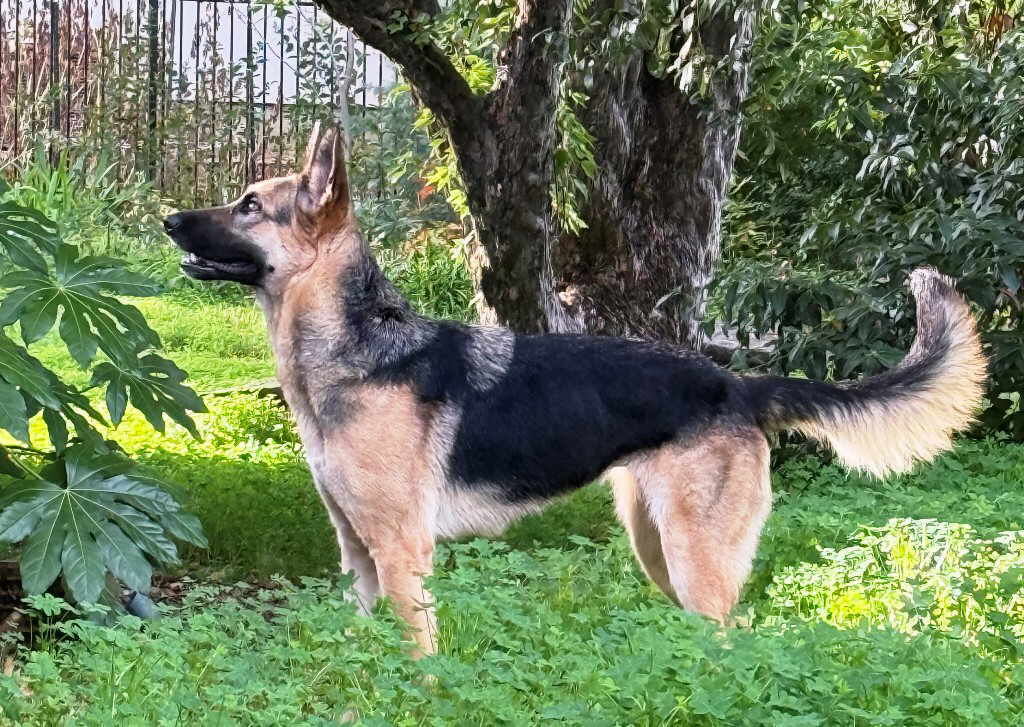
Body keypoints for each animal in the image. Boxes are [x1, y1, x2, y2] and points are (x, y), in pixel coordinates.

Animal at [164, 124, 986, 655]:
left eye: (249, 205)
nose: (169, 218)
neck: (360, 349)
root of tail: (737, 383)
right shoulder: (360, 561)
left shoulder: (401, 553)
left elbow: (419, 659)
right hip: (658, 551)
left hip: (694, 560)